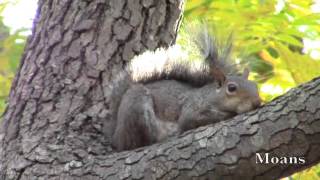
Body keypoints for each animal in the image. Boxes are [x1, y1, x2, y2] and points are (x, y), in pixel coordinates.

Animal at [106, 25, 262, 150]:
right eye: (231, 88)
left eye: (255, 85)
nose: (257, 102)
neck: (211, 96)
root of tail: (115, 135)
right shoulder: (192, 109)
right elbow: (190, 120)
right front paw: (228, 114)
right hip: (136, 103)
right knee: (140, 141)